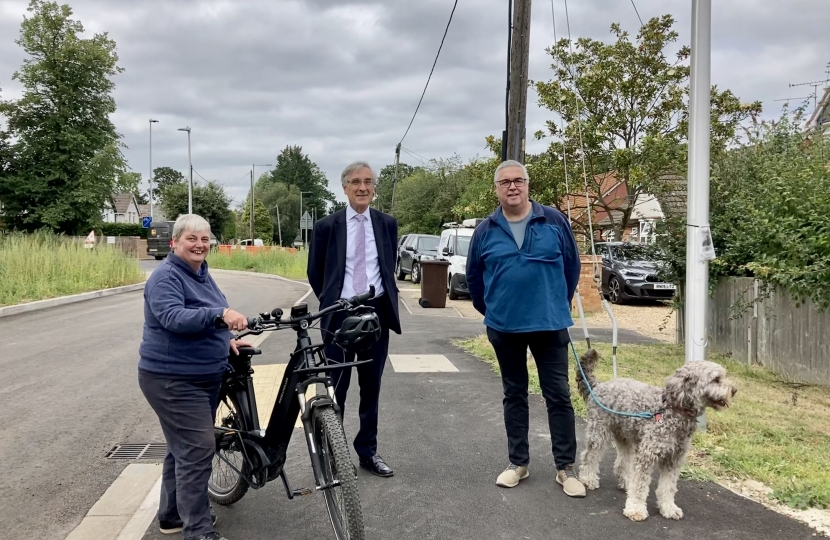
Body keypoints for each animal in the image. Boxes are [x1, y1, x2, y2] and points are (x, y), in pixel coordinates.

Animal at [576, 348, 736, 520]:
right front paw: (636, 509)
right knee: (589, 456)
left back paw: (626, 482)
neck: (673, 411)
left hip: (626, 437)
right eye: (716, 379)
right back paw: (588, 479)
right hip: (599, 432)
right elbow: (640, 486)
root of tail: (598, 386)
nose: (734, 390)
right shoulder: (647, 456)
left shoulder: (673, 460)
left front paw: (669, 508)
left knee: (622, 463)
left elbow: (667, 487)